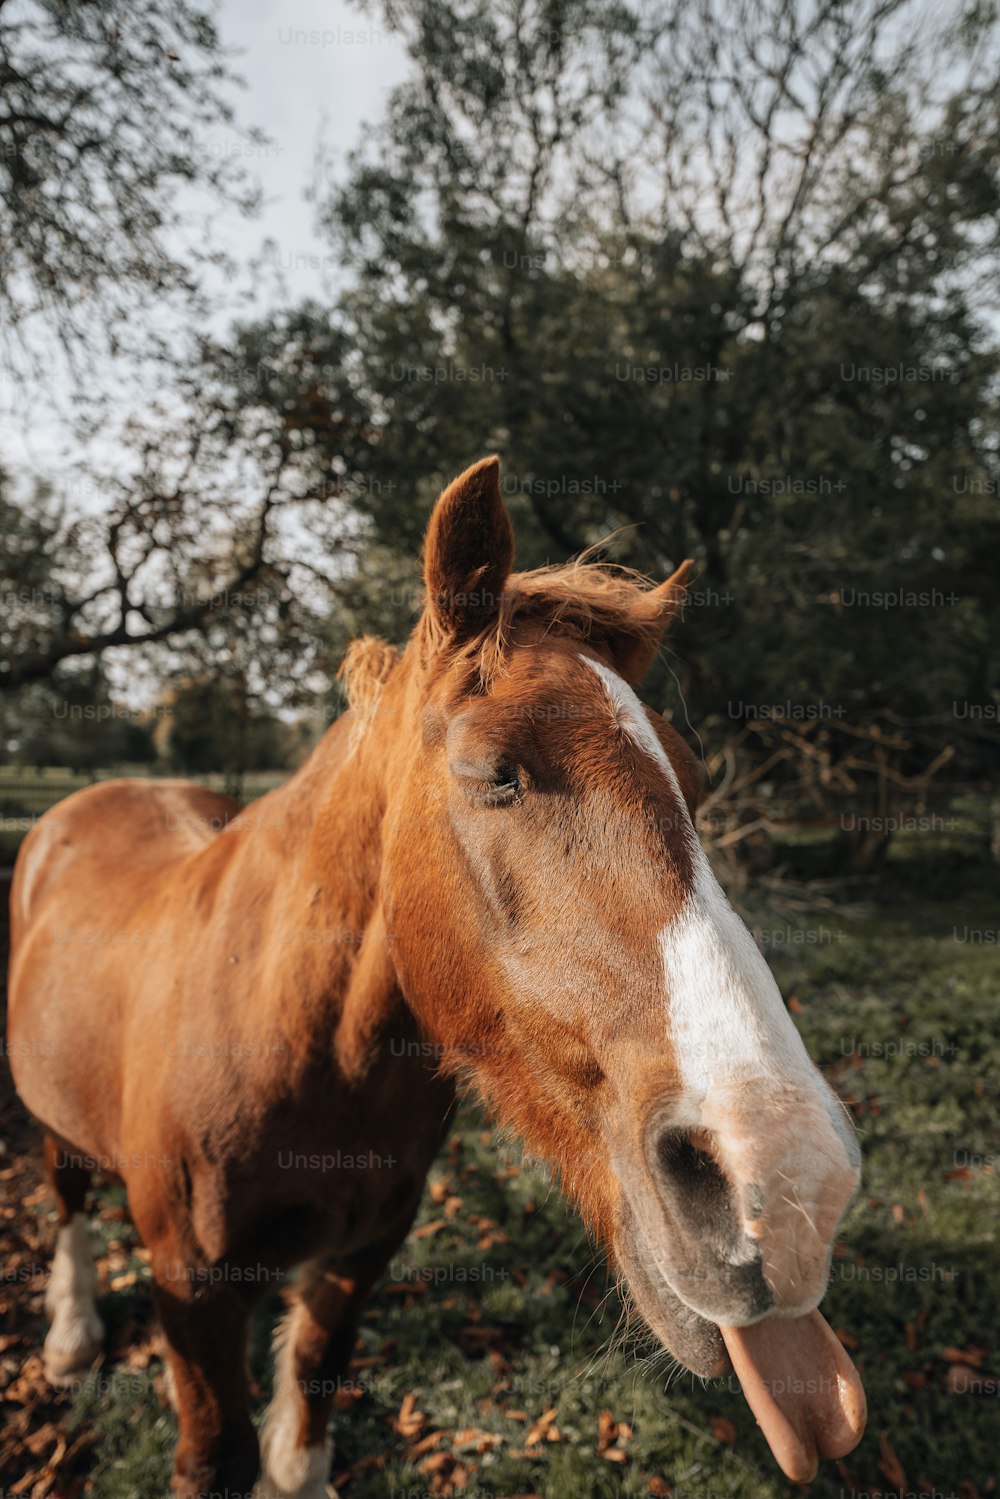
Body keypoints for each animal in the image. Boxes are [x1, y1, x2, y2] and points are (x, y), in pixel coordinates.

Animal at [5, 455, 869, 1499]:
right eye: (494, 769)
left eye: (695, 784)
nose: (790, 1184)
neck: (295, 1044)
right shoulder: (194, 1299)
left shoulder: (359, 1258)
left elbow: (309, 1398)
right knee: (65, 1196)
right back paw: (71, 1333)